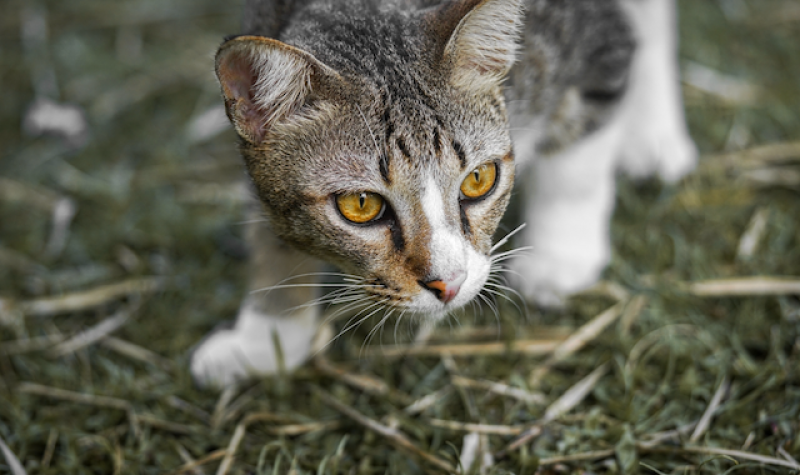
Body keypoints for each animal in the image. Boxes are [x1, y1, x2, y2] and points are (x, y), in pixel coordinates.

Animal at [188, 0, 692, 386]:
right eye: (360, 205)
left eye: (479, 179)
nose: (448, 284)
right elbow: (268, 228)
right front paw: (264, 338)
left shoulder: (594, 39)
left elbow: (576, 165)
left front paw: (559, 258)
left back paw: (653, 135)